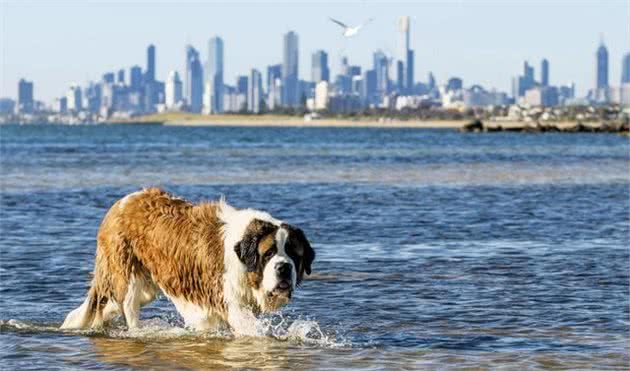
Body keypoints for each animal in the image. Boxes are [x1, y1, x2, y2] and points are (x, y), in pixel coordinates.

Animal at [60, 187, 314, 336]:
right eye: (269, 253)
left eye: (294, 254)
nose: (284, 267)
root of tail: (121, 203)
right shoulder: (230, 303)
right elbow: (253, 330)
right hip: (126, 274)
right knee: (128, 308)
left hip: (143, 286)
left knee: (109, 304)